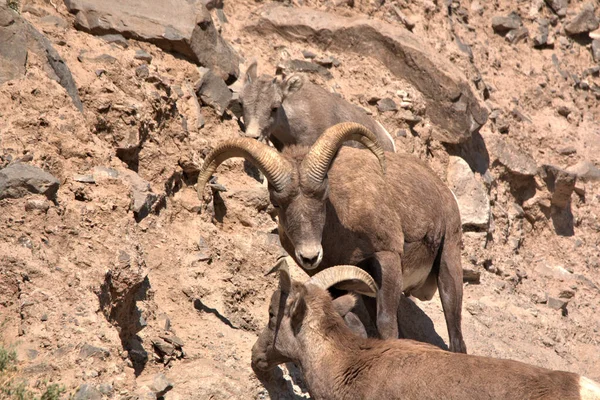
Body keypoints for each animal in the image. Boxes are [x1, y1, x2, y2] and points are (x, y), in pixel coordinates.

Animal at [199, 122, 466, 354]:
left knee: (456, 337)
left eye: (322, 196)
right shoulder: (339, 283)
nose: (310, 256)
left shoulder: (387, 257)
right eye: (276, 203)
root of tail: (443, 190)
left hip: (448, 267)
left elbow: (387, 325)